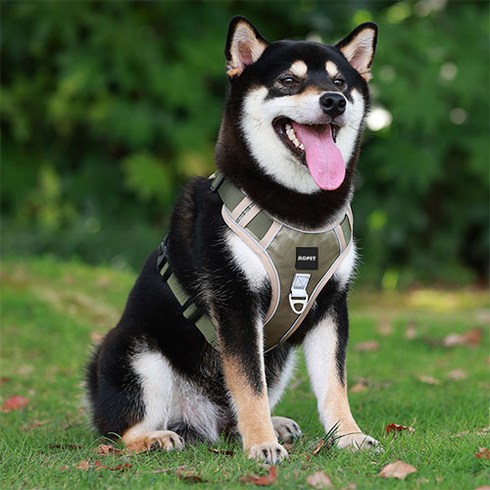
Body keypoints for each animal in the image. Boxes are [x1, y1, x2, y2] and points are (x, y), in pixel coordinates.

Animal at [87, 16, 378, 464]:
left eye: (340, 82)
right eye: (288, 80)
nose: (334, 101)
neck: (300, 212)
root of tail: (197, 421)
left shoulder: (331, 305)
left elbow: (334, 385)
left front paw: (349, 435)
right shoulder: (236, 301)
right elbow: (248, 384)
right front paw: (261, 444)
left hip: (279, 359)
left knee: (232, 414)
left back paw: (271, 424)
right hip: (137, 353)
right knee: (118, 430)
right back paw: (155, 437)